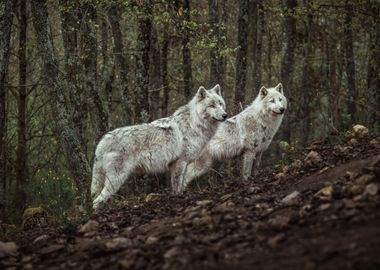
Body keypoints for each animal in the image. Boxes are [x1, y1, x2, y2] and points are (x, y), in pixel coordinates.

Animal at [90, 84, 227, 209]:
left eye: (220, 104)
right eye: (212, 105)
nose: (225, 115)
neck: (195, 124)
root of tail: (102, 141)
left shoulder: (182, 165)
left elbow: (181, 184)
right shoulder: (180, 163)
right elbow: (177, 186)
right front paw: (178, 197)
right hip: (117, 179)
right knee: (97, 201)